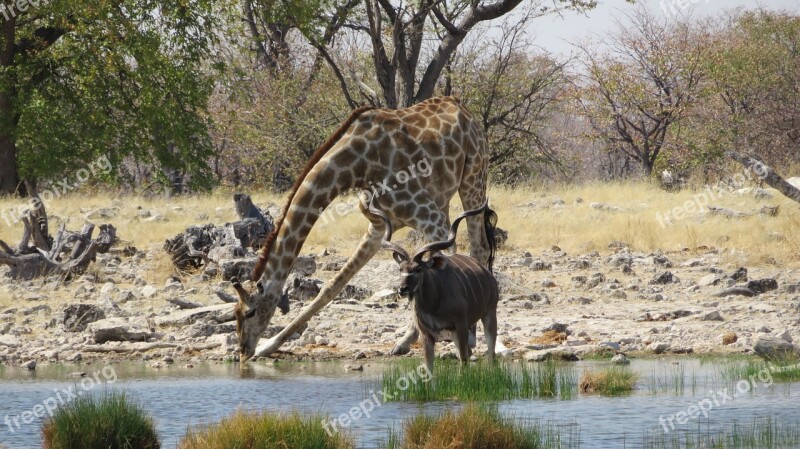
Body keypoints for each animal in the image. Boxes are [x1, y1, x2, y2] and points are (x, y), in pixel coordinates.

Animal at [234, 95, 490, 360]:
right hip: (445, 198)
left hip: (474, 176)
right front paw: (268, 346)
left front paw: (461, 338)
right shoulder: (379, 226)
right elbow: (332, 286)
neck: (356, 165)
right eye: (235, 313)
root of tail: (462, 107)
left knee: (479, 248)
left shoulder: (428, 216)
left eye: (250, 311)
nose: (243, 350)